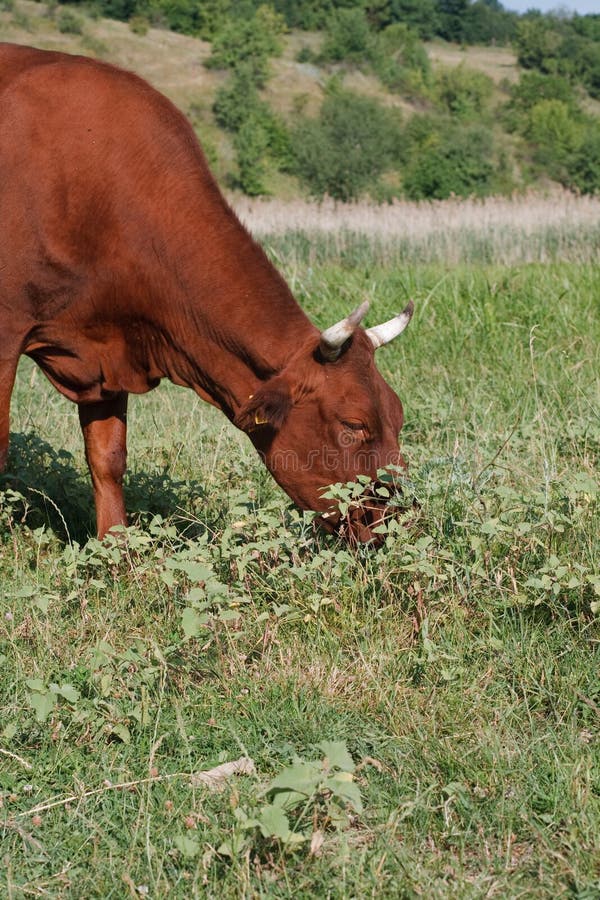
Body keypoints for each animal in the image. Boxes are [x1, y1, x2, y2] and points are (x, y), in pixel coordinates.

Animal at [0, 44, 412, 540]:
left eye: (398, 414)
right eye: (353, 424)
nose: (397, 520)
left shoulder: (108, 348)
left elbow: (108, 457)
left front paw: (116, 548)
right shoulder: (6, 330)